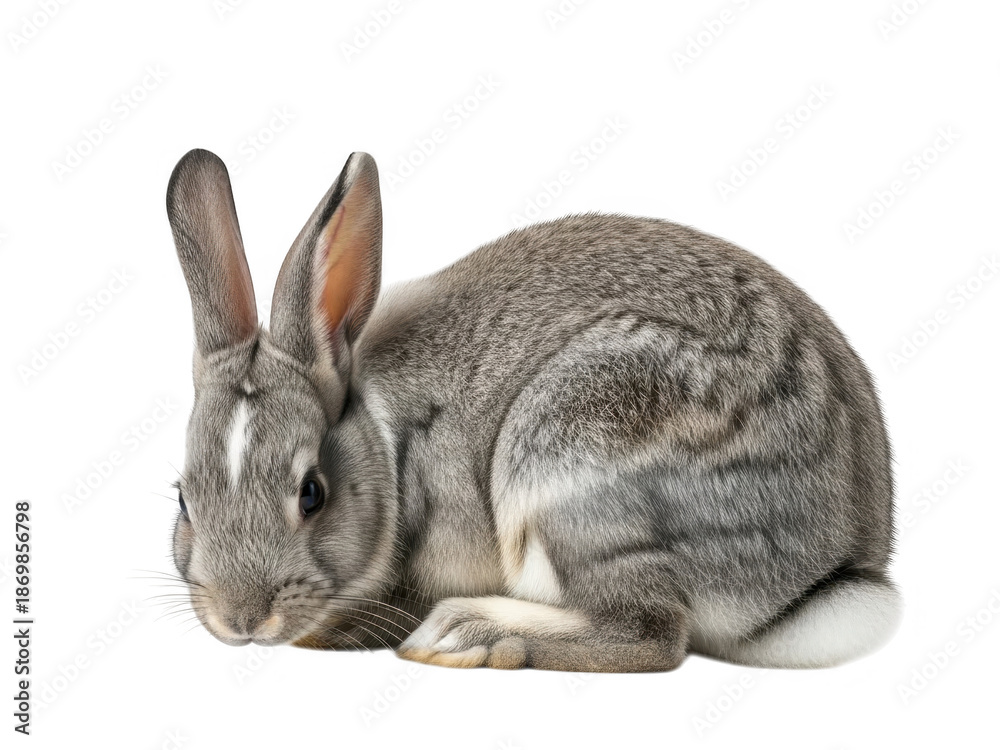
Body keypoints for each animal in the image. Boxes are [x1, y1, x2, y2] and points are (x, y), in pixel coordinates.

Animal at [165, 147, 901, 672]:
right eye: (183, 499)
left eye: (312, 493)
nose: (241, 620)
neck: (384, 444)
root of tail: (836, 570)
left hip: (574, 467)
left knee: (649, 633)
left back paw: (467, 635)